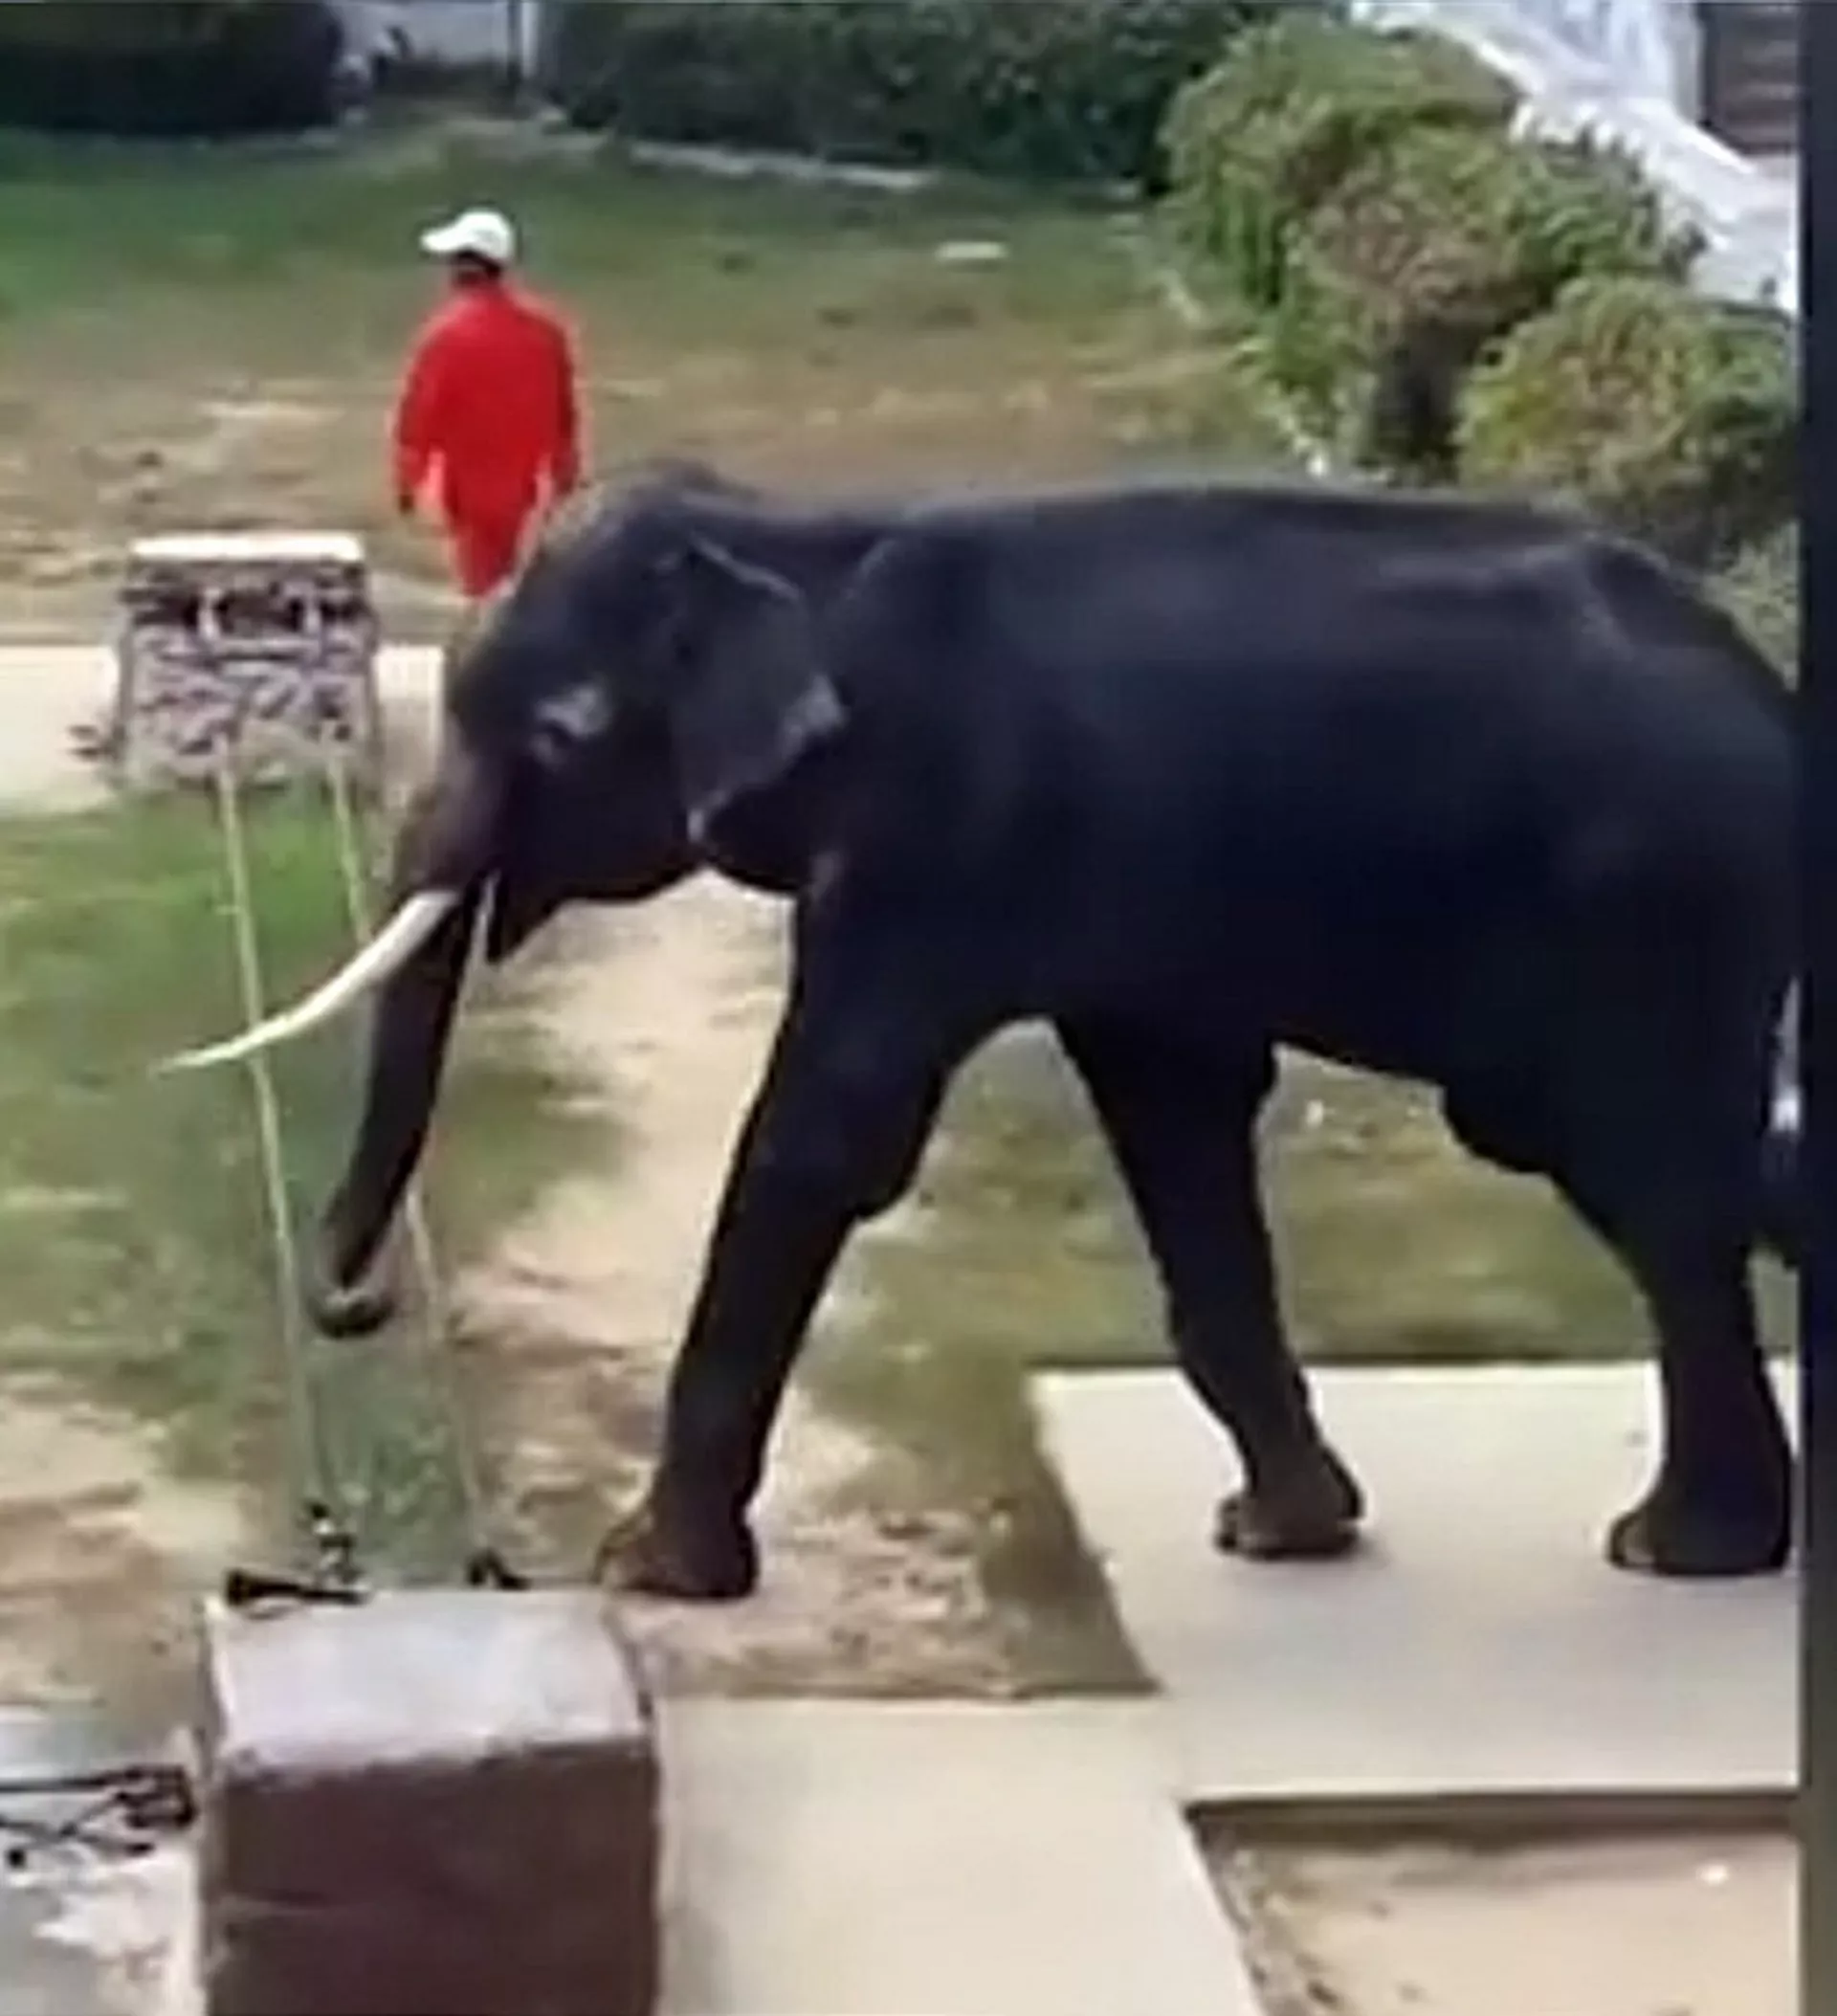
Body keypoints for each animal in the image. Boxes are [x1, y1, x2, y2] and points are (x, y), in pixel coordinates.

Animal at [164, 463, 1800, 1599]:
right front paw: (1278, 1531)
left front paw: (650, 1571)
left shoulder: (935, 841)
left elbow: (828, 1132)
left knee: (1658, 1180)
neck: (797, 541)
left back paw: (1678, 1550)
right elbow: (1179, 1111)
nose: (360, 1301)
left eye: (556, 734)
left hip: (1644, 914)